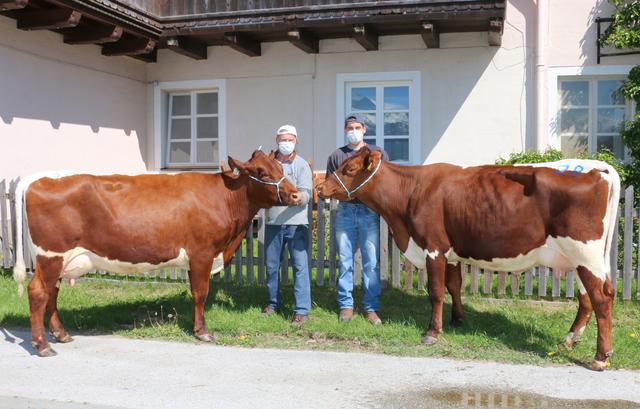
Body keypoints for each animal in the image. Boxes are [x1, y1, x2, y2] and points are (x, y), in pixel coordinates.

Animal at [11, 149, 298, 354]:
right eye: (261, 171)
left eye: (281, 168)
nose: (296, 195)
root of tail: (37, 178)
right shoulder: (202, 253)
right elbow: (201, 294)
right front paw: (202, 332)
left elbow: (195, 293)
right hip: (51, 255)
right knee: (38, 292)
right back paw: (42, 345)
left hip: (58, 259)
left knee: (52, 293)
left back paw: (61, 335)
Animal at [318, 147, 620, 370]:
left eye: (349, 169)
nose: (321, 188)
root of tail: (599, 168)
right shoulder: (451, 252)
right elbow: (454, 286)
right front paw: (458, 320)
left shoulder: (434, 247)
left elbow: (436, 291)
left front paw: (432, 332)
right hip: (581, 259)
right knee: (588, 298)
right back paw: (569, 340)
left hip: (585, 254)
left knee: (601, 299)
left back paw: (600, 357)